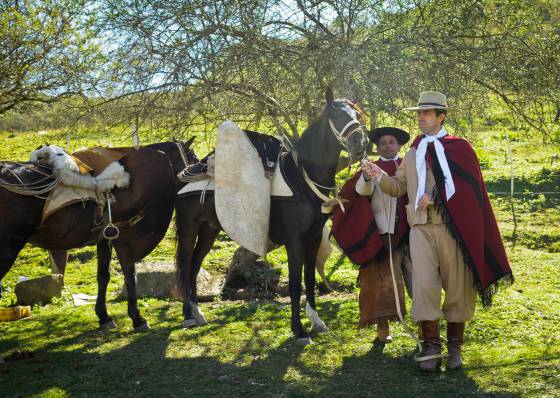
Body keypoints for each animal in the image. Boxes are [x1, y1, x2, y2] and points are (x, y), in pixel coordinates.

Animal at [0, 146, 178, 330]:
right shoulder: (124, 237)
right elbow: (129, 273)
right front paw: (137, 318)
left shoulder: (105, 237)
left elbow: (104, 275)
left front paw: (104, 316)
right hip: (7, 249)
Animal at [174, 89, 368, 342]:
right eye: (335, 114)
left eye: (357, 114)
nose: (360, 144)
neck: (301, 180)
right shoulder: (294, 242)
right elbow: (295, 284)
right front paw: (298, 330)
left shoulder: (314, 238)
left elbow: (309, 280)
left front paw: (316, 321)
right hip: (189, 230)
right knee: (186, 265)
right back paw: (188, 316)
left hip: (209, 230)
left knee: (195, 265)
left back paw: (198, 314)